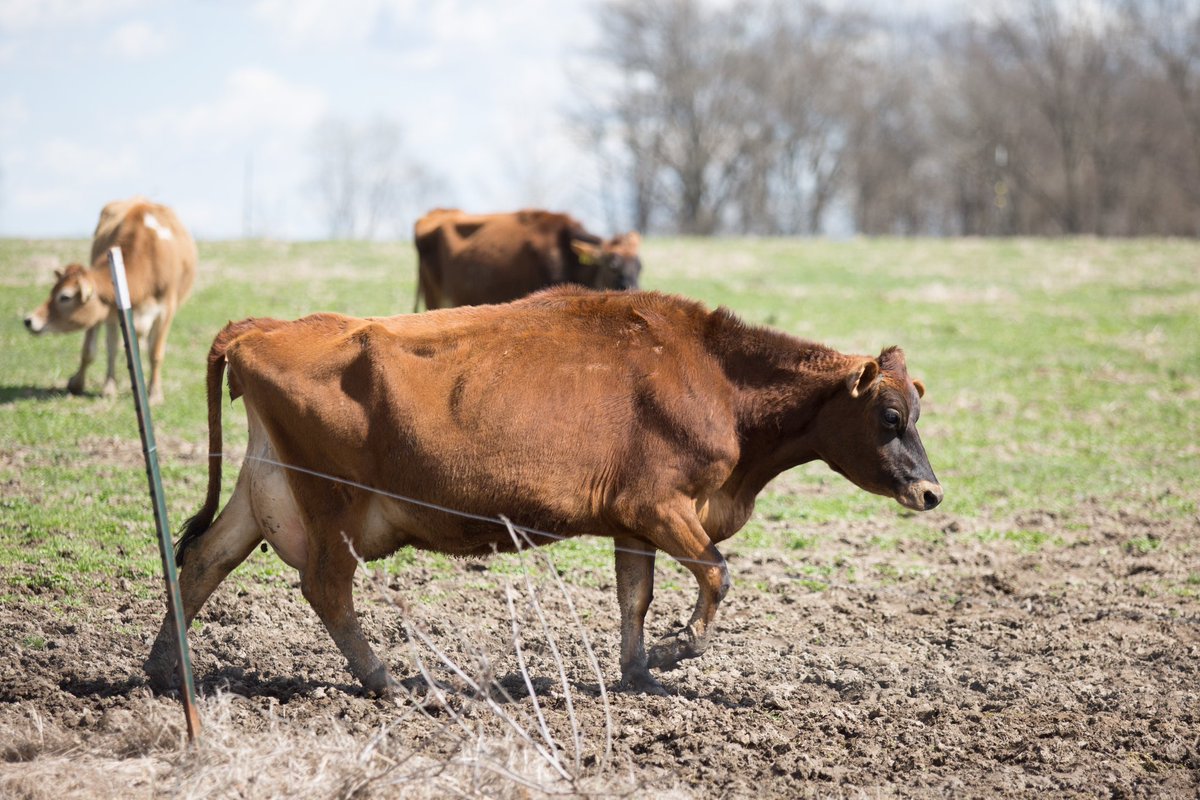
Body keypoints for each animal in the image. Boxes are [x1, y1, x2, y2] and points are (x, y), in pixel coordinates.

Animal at [21, 197, 198, 402]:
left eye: (65, 297)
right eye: (52, 291)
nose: (29, 320)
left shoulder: (166, 310)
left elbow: (155, 353)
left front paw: (154, 394)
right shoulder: (104, 309)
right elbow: (91, 350)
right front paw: (78, 384)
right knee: (113, 347)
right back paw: (110, 385)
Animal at [145, 286, 940, 695]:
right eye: (889, 417)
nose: (932, 492)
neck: (711, 376)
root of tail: (261, 328)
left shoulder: (633, 520)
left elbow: (634, 598)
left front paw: (640, 671)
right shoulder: (661, 506)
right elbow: (716, 572)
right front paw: (680, 650)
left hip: (262, 491)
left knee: (205, 559)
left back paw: (162, 667)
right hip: (332, 505)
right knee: (326, 589)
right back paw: (389, 681)